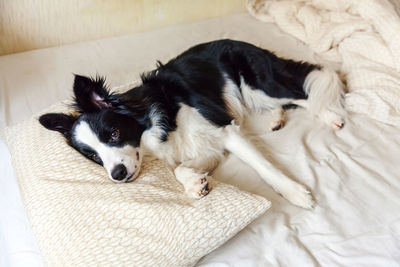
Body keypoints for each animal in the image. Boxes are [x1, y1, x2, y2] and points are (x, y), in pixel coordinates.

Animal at [41, 39, 346, 209]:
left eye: (114, 133)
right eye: (93, 156)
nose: (117, 174)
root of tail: (240, 41)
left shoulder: (225, 131)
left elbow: (264, 167)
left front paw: (295, 193)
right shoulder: (208, 149)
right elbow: (179, 169)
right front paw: (195, 185)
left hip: (258, 84)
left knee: (304, 92)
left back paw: (330, 116)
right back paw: (276, 119)